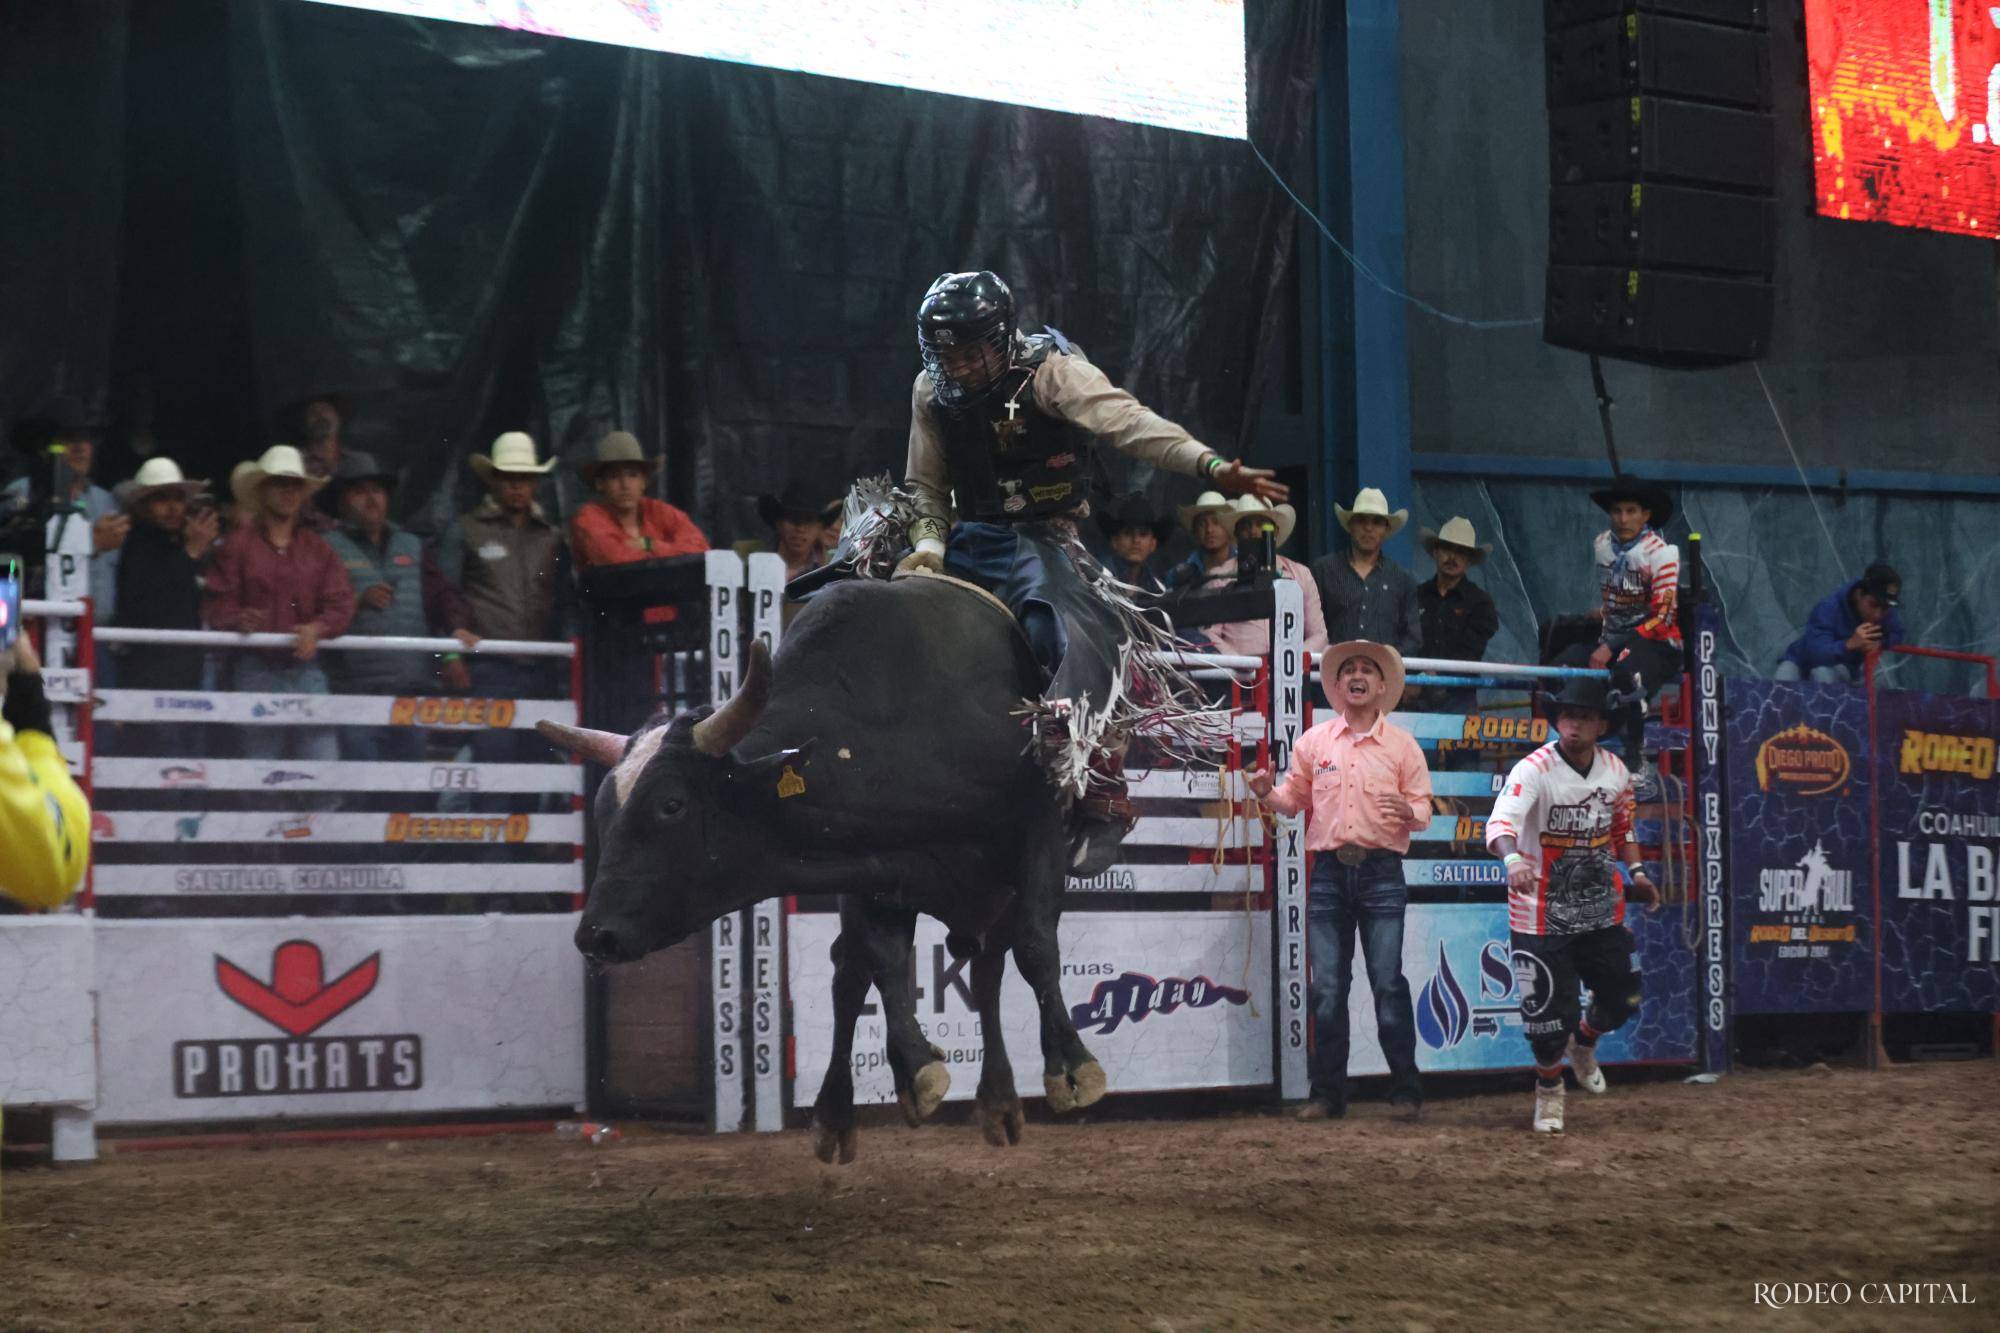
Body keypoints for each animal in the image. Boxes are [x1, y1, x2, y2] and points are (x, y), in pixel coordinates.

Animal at [540, 576, 1120, 1160]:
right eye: (602, 809)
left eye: (672, 804)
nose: (596, 936)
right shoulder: (871, 869)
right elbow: (881, 962)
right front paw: (918, 1070)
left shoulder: (1039, 828)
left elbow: (1035, 946)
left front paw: (1073, 1069)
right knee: (867, 974)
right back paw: (851, 1113)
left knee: (988, 966)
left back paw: (999, 1099)